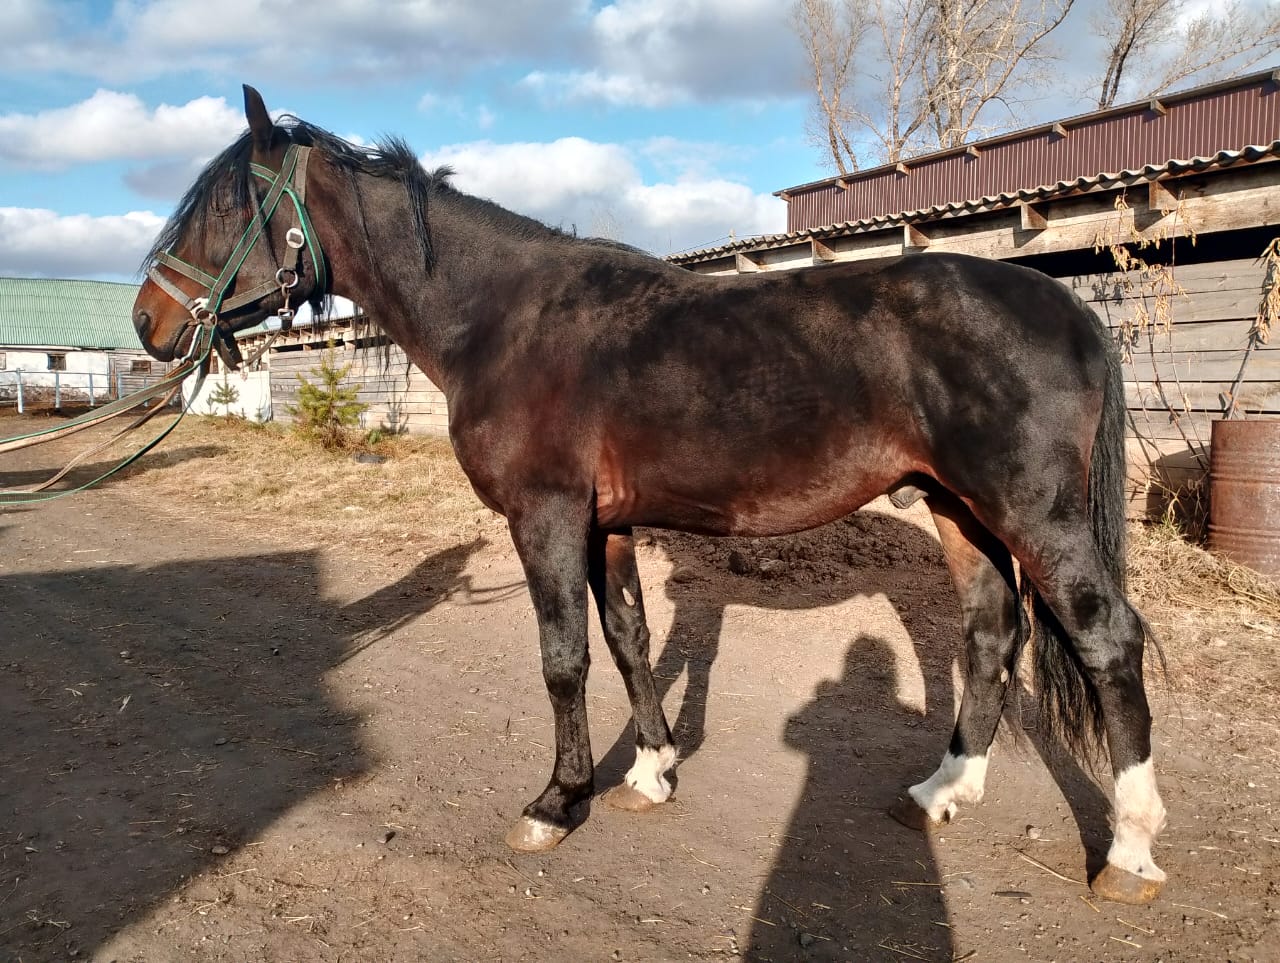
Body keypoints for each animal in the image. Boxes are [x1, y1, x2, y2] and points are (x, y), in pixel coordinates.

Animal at [131, 86, 1167, 906]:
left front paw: (557, 802)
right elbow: (629, 640)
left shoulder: (546, 517)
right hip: (961, 511)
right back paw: (943, 792)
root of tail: (1067, 306)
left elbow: (564, 659)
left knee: (1108, 638)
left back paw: (1129, 850)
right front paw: (652, 771)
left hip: (1032, 514)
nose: (147, 322)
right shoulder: (607, 527)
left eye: (224, 206)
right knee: (992, 633)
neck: (505, 318)